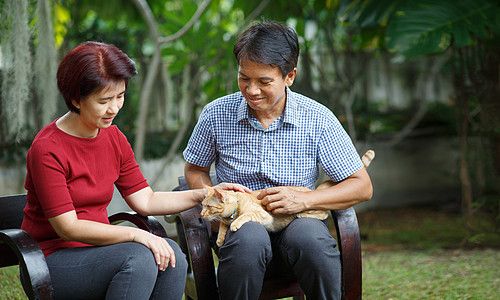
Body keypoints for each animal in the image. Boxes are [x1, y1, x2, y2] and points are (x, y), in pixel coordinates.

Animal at [201, 150, 374, 246]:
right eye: (202, 205)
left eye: (208, 207)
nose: (201, 214)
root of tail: (312, 190)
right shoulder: (224, 220)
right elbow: (222, 227)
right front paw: (220, 239)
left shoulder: (261, 214)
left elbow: (243, 217)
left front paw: (235, 224)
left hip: (311, 210)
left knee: (323, 213)